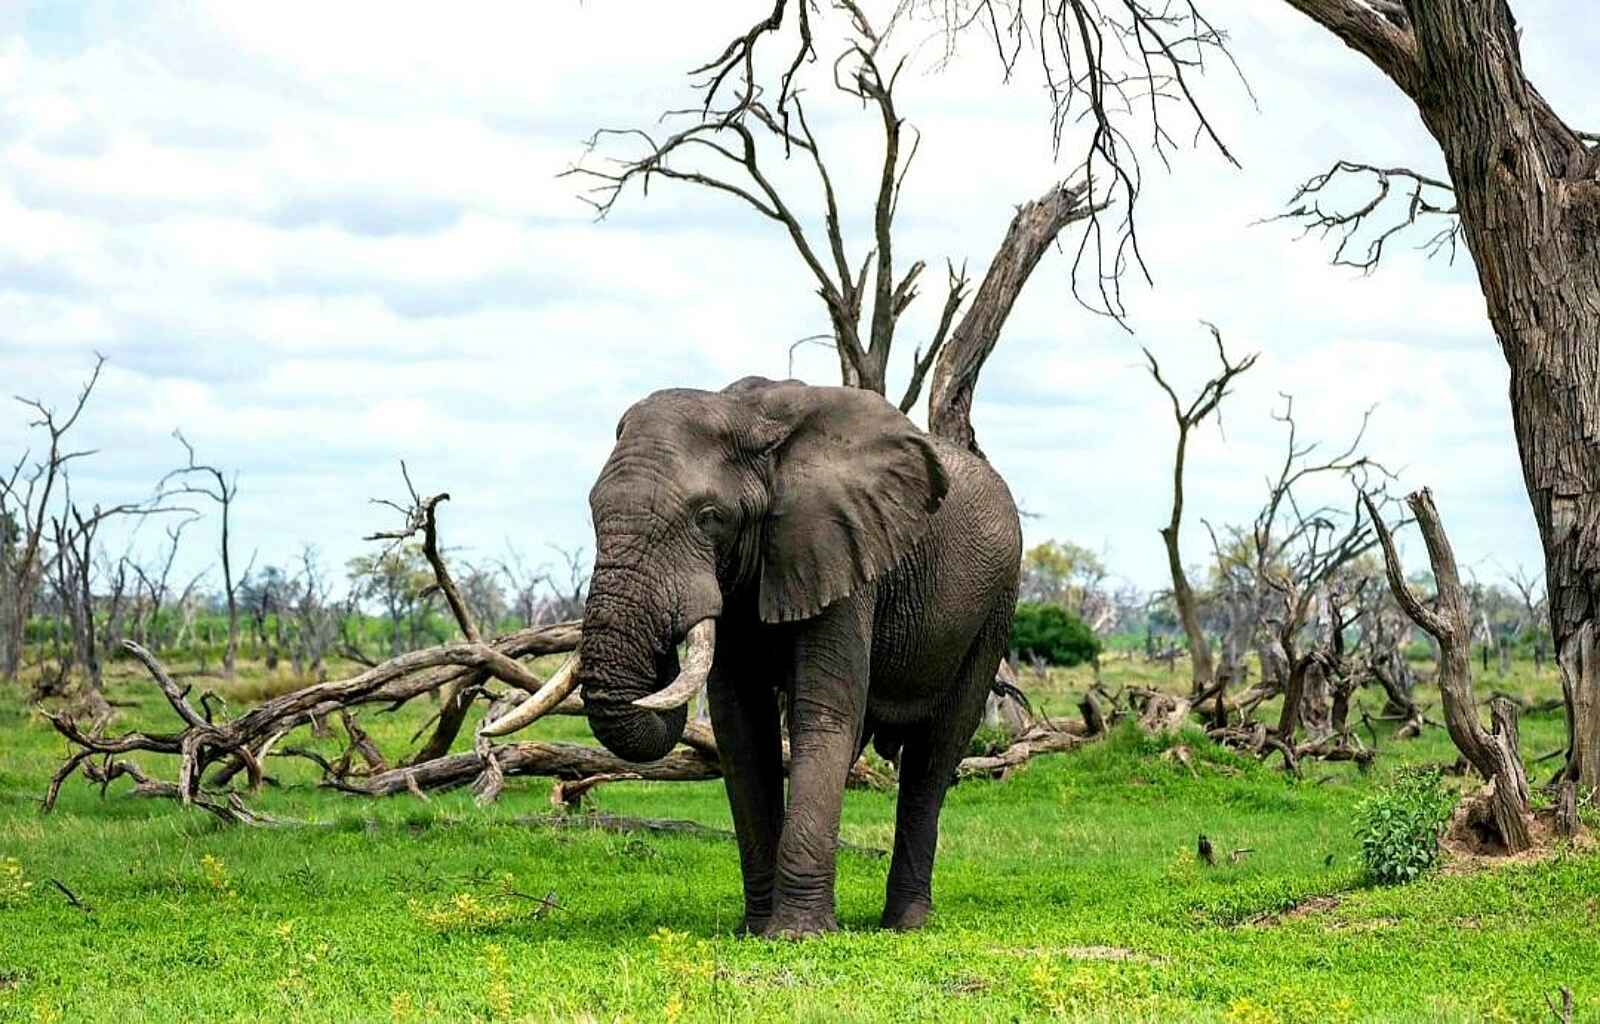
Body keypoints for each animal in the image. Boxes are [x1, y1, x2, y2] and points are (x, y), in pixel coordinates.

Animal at [571, 376, 1021, 937]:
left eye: (709, 518)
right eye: (593, 510)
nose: (668, 637)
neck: (752, 420)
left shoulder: (843, 552)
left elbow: (821, 715)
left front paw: (796, 935)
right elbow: (742, 730)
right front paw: (756, 930)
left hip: (995, 607)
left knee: (936, 753)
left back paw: (906, 924)